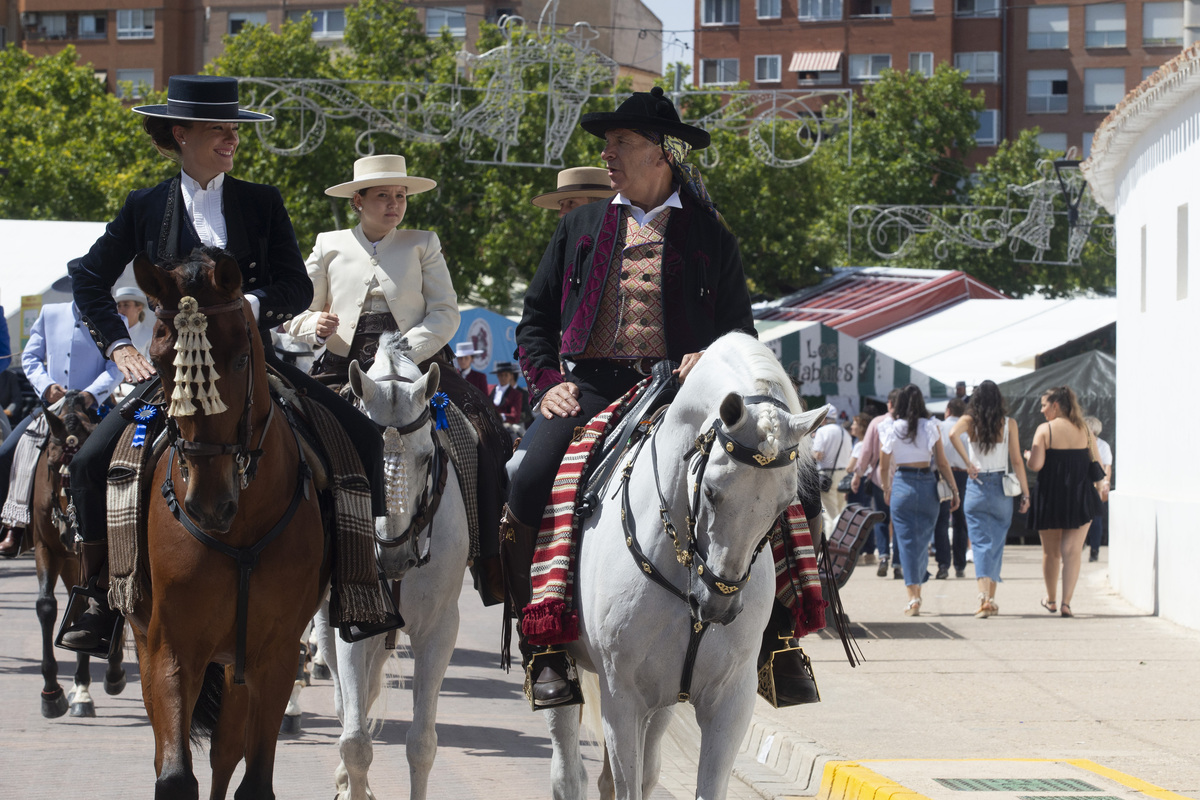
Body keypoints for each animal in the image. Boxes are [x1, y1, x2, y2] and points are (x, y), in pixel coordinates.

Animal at [31, 393, 126, 719]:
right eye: (50, 464)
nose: (71, 531)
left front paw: (84, 689)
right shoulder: (46, 549)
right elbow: (47, 607)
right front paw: (51, 692)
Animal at [130, 251, 333, 800]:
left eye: (242, 360)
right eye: (160, 362)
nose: (207, 504)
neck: (240, 528)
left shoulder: (274, 656)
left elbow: (253, 780)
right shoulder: (172, 648)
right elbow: (174, 774)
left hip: (236, 666)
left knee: (224, 754)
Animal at [309, 335, 468, 800]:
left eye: (427, 457)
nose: (394, 558)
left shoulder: (439, 631)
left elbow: (422, 743)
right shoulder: (351, 627)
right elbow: (355, 741)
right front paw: (351, 783)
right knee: (348, 702)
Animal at [544, 331, 825, 800]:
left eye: (785, 503)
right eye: (710, 490)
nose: (719, 606)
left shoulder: (729, 701)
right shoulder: (622, 698)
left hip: (662, 698)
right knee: (569, 773)